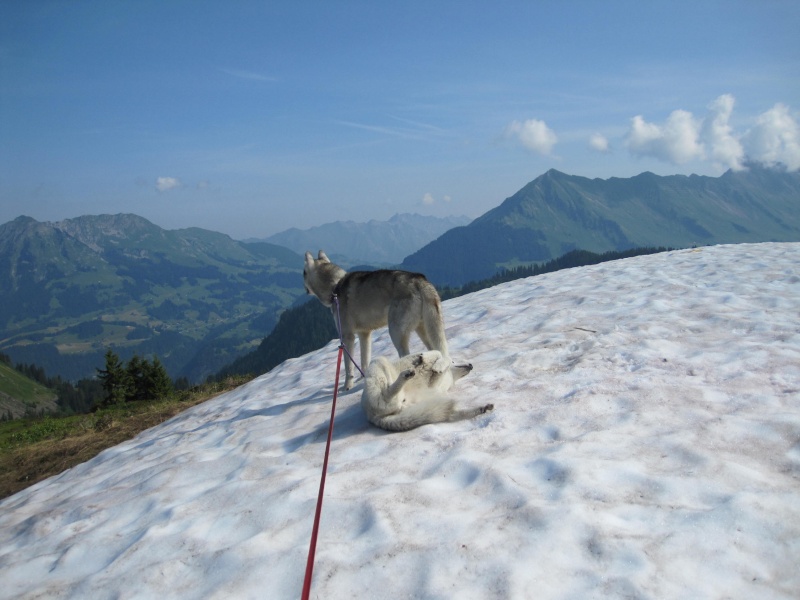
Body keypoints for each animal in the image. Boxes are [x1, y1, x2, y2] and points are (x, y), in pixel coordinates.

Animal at [304, 248, 450, 390]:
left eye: (303, 272)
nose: (305, 289)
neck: (335, 287)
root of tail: (418, 279)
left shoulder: (347, 337)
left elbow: (348, 367)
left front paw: (347, 387)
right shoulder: (364, 334)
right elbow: (364, 361)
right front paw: (363, 379)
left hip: (395, 332)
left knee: (406, 355)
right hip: (424, 330)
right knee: (435, 350)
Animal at [362, 350, 494, 434]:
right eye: (455, 361)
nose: (471, 365)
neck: (450, 378)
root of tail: (372, 418)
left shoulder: (433, 385)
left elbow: (440, 358)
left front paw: (435, 365)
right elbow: (440, 354)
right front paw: (429, 361)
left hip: (425, 408)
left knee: (449, 414)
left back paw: (483, 408)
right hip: (378, 361)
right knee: (387, 395)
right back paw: (404, 376)